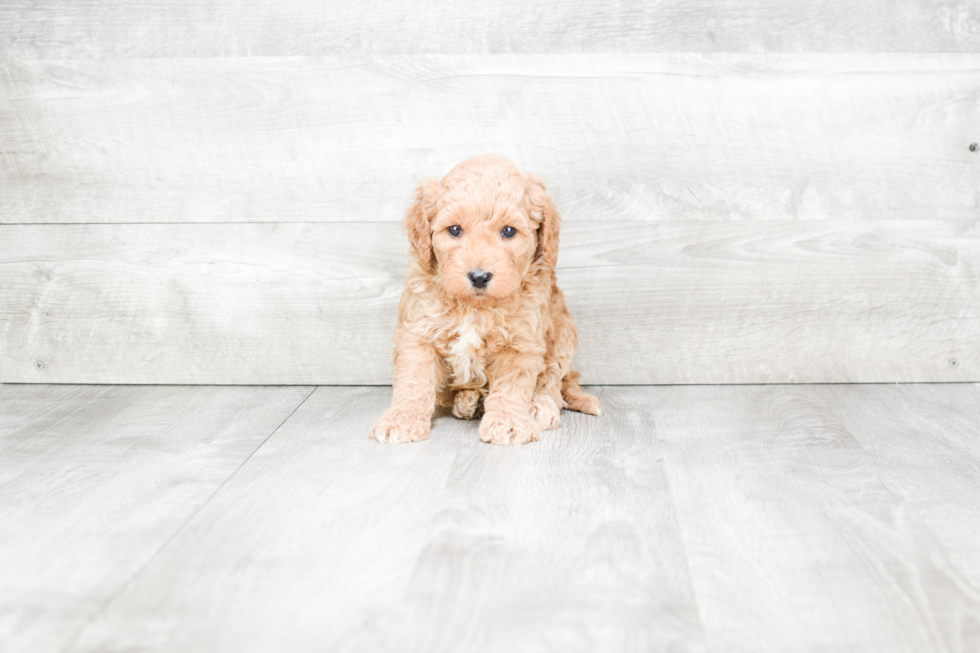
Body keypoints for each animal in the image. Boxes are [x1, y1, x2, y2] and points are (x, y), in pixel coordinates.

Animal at [368, 155, 596, 446]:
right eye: (454, 230)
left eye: (508, 231)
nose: (479, 276)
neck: (474, 308)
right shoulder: (419, 333)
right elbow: (413, 380)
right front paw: (401, 419)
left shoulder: (521, 342)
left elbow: (512, 387)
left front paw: (509, 423)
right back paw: (467, 401)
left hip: (563, 331)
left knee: (552, 380)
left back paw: (538, 407)